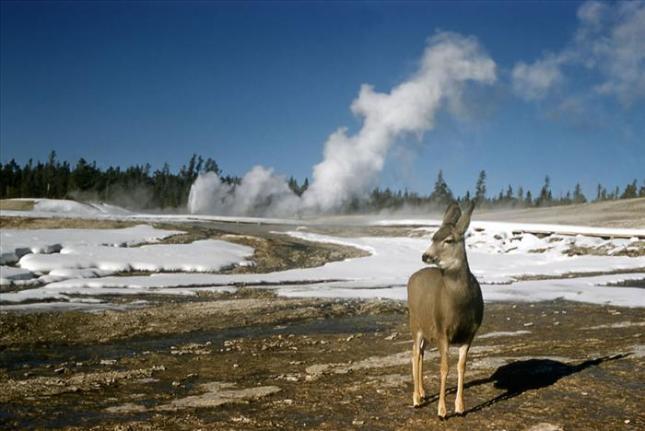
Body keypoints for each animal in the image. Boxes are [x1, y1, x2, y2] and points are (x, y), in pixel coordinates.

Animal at [407, 200, 483, 418]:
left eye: (448, 240)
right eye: (433, 236)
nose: (425, 255)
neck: (460, 304)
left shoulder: (470, 333)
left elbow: (461, 367)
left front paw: (460, 407)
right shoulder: (442, 330)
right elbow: (443, 368)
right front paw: (441, 411)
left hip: (426, 329)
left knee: (420, 352)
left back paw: (422, 392)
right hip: (414, 323)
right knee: (414, 354)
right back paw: (416, 399)